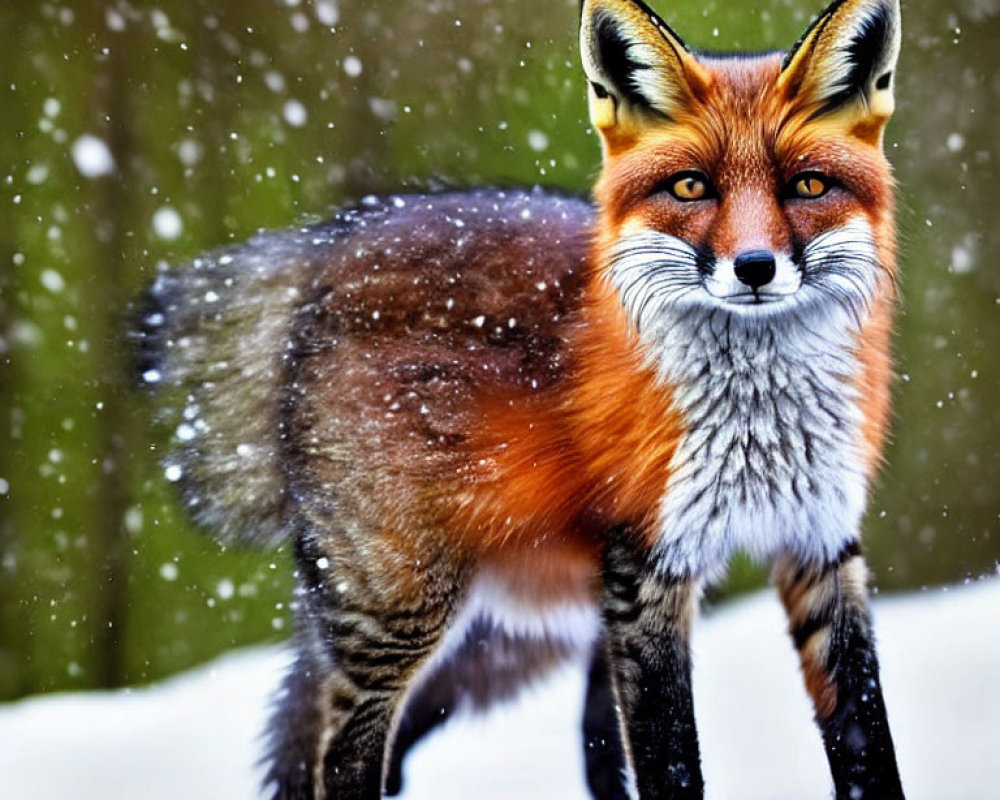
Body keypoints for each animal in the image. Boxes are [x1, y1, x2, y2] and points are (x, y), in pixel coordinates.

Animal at [139, 1, 908, 800]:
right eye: (692, 189)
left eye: (808, 187)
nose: (755, 267)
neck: (761, 419)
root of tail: (326, 252)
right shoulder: (647, 574)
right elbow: (671, 763)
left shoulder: (821, 542)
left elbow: (868, 743)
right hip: (407, 614)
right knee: (343, 756)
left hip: (507, 640)